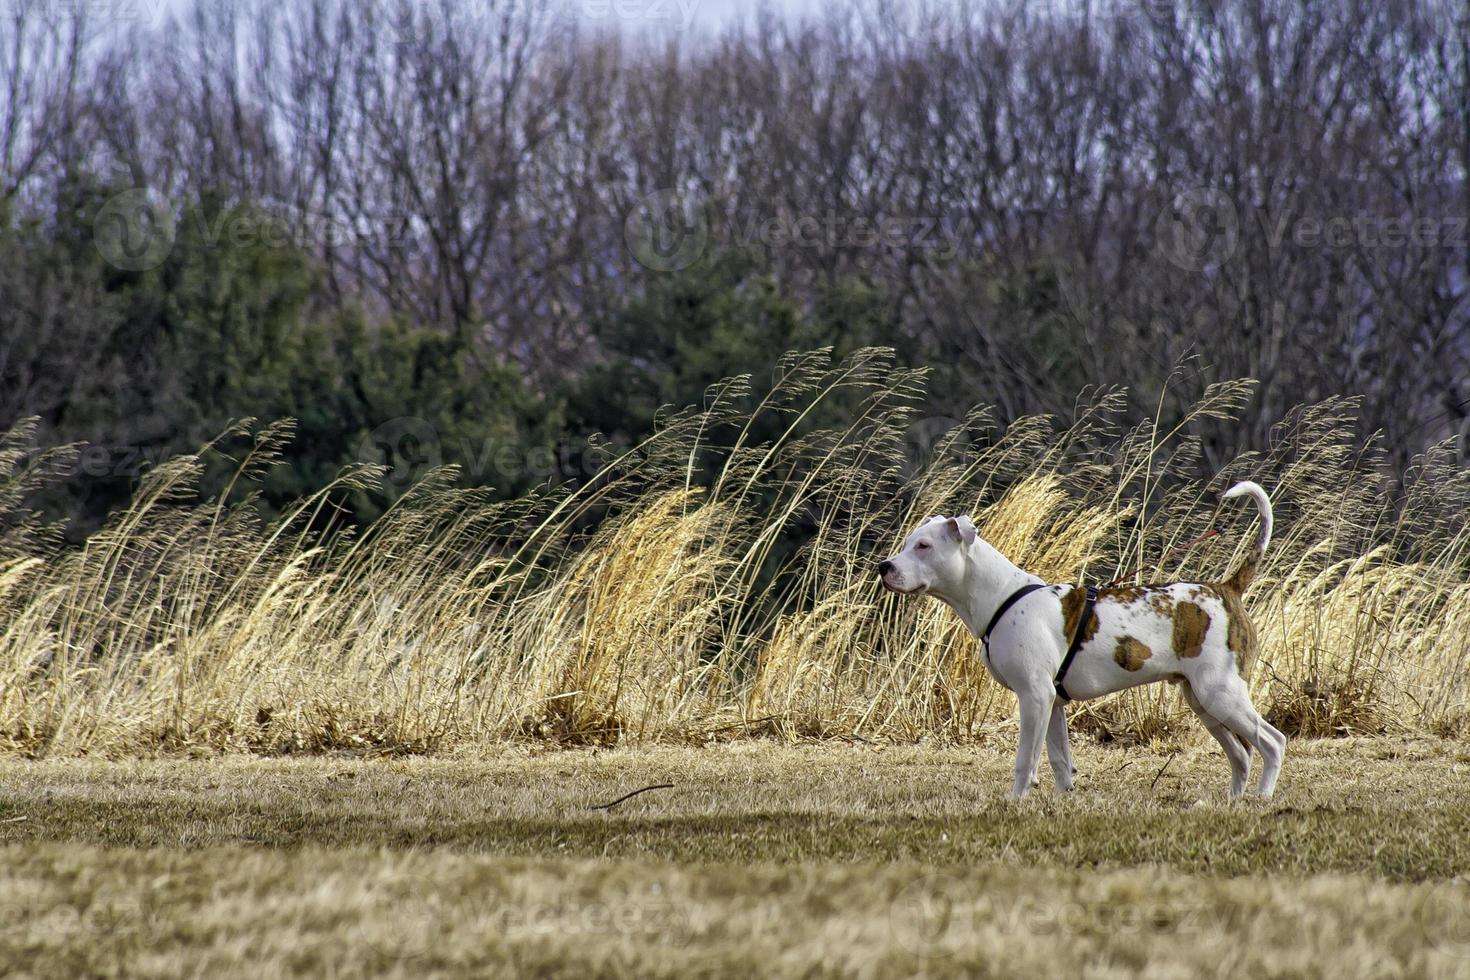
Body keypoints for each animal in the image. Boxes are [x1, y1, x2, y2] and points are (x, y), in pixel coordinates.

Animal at [876, 481, 1281, 799]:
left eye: (924, 546)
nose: (884, 567)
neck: (1001, 595)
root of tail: (1226, 588)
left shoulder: (1034, 696)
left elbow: (1025, 760)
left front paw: (1014, 802)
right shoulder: (1052, 704)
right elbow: (1059, 761)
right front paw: (1061, 802)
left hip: (1221, 694)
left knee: (1272, 743)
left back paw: (1262, 798)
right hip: (1204, 701)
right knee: (1242, 755)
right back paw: (1231, 802)